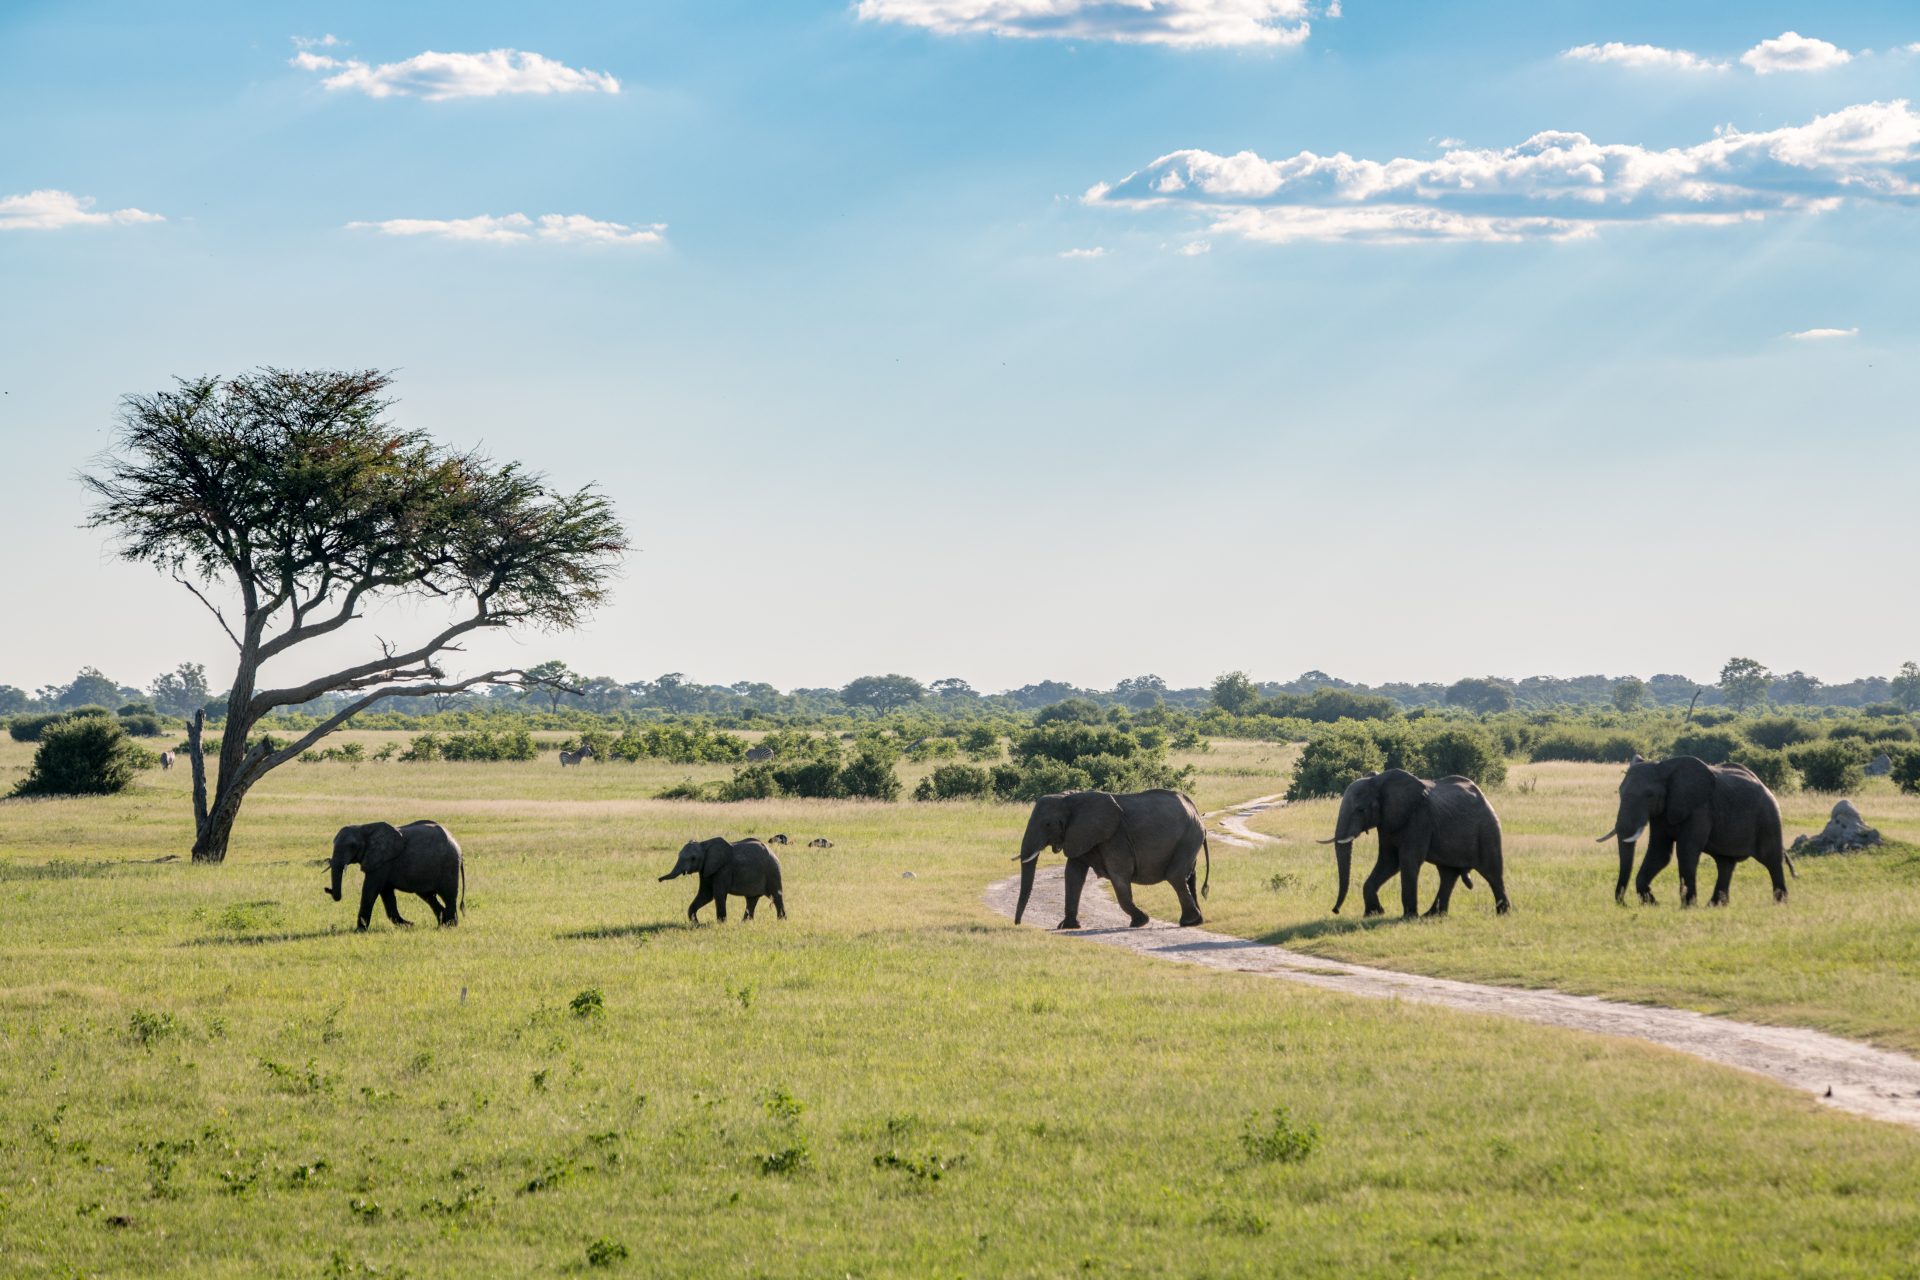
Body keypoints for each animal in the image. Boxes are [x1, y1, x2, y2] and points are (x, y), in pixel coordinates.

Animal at [326, 821, 464, 932]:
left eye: (352, 846)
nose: (327, 889)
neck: (363, 828)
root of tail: (458, 847)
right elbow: (387, 894)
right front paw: (408, 925)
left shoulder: (382, 862)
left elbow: (370, 890)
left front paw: (359, 930)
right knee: (429, 897)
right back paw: (442, 925)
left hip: (449, 866)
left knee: (449, 895)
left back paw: (451, 925)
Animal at [1013, 790, 1205, 932]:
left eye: (1047, 824)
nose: (1017, 923)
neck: (1069, 798)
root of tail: (1195, 810)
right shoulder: (1079, 835)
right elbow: (1073, 875)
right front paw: (1068, 926)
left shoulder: (1115, 837)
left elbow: (1119, 875)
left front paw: (1140, 921)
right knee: (1189, 877)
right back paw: (1196, 921)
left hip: (1189, 838)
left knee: (1175, 876)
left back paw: (1189, 921)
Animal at [1328, 771, 1505, 921]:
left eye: (1360, 810)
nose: (1335, 910)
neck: (1379, 781)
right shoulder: (1386, 823)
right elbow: (1389, 861)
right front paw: (1374, 913)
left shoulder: (1419, 819)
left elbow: (1407, 860)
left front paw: (1408, 917)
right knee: (1447, 875)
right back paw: (1433, 915)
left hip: (1488, 830)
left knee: (1492, 873)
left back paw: (1503, 913)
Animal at [1597, 756, 1789, 905]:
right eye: (1620, 792)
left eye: (1649, 795)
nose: (1623, 903)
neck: (1664, 767)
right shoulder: (1660, 814)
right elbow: (1660, 853)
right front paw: (1653, 904)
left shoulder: (1699, 809)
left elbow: (1686, 852)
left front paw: (1687, 906)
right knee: (1725, 863)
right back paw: (1715, 905)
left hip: (1769, 818)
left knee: (1772, 860)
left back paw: (1779, 903)